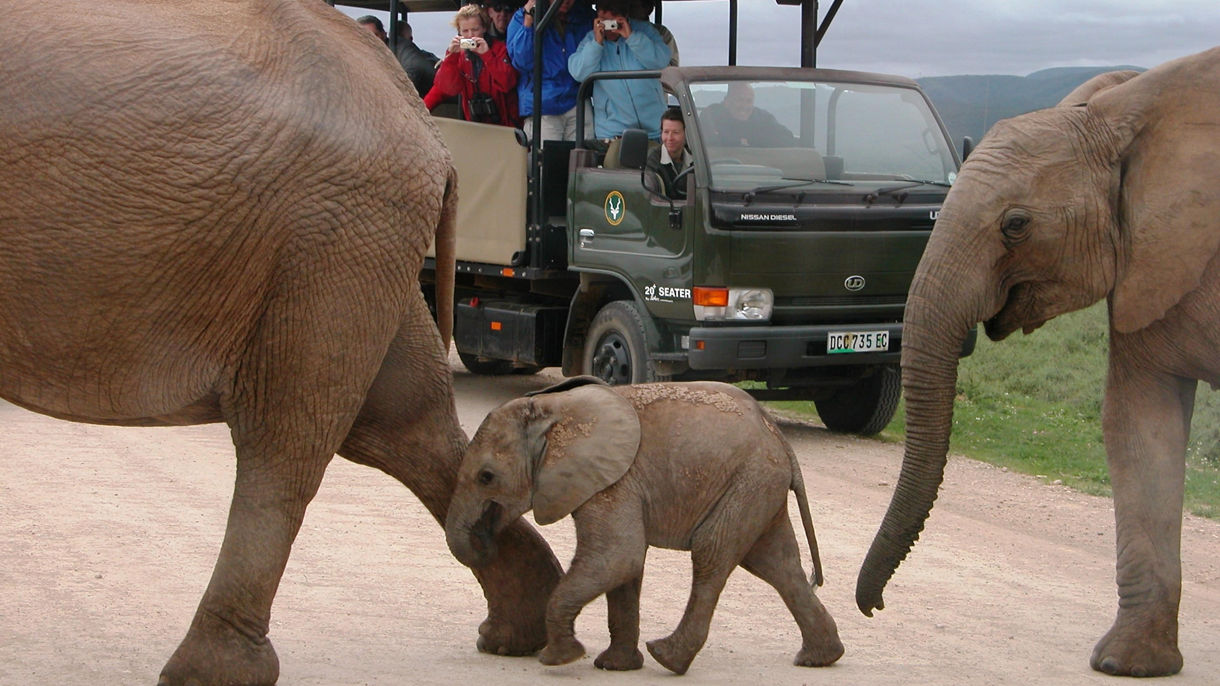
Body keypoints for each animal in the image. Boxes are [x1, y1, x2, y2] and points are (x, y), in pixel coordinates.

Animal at [0, 1, 562, 684]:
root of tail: (421, 122)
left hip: (330, 245)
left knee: (287, 439)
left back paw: (205, 673)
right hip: (357, 248)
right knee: (404, 424)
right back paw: (520, 629)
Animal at [445, 376, 844, 675]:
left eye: (486, 477)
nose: (486, 539)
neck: (554, 411)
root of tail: (779, 438)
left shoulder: (614, 481)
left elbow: (618, 557)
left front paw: (560, 659)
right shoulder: (615, 482)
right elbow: (625, 569)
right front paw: (615, 667)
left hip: (749, 480)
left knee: (712, 555)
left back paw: (668, 658)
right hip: (759, 485)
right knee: (776, 563)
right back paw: (820, 659)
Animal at [856, 46, 1220, 677]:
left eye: (1016, 225)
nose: (872, 607)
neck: (1124, 113)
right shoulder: (1146, 257)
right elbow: (1137, 422)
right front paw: (1129, 664)